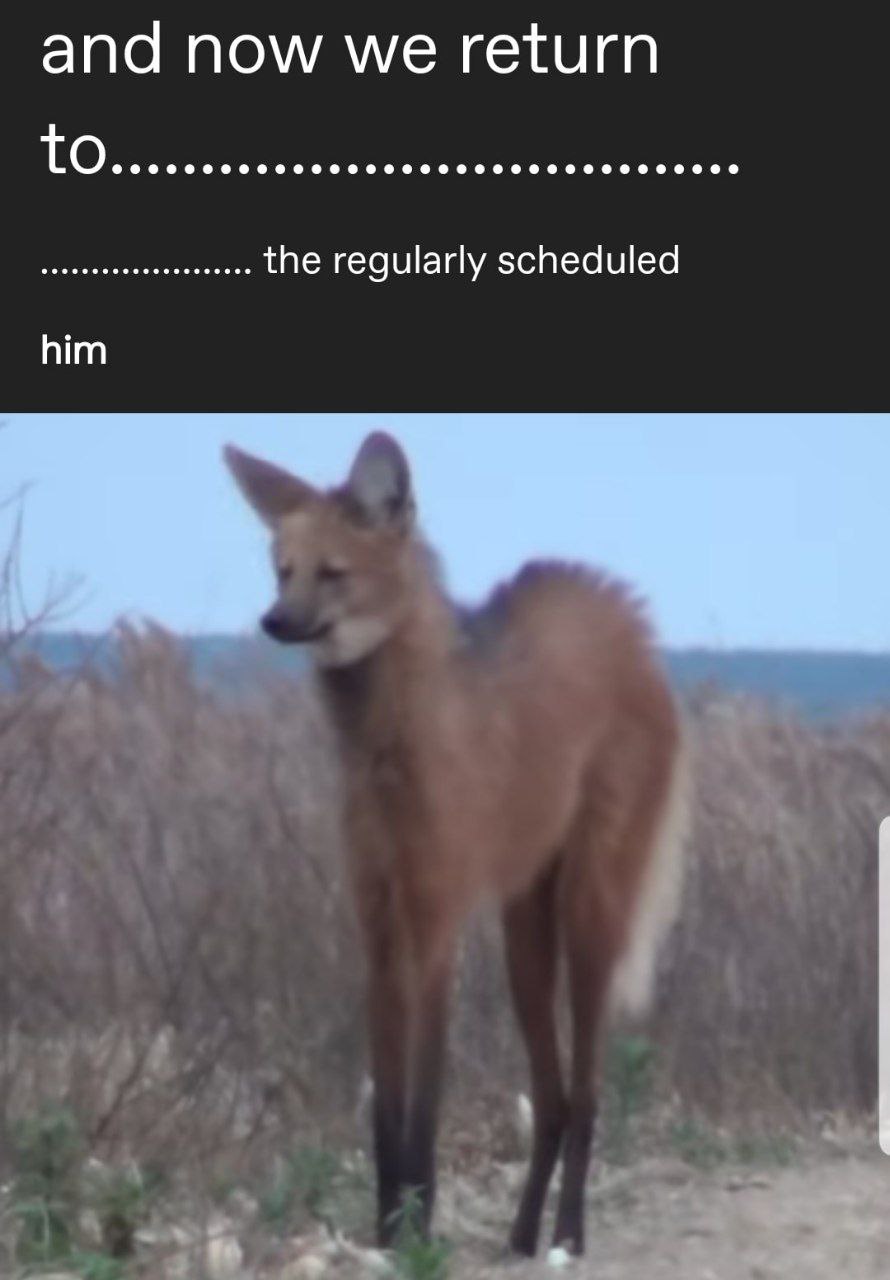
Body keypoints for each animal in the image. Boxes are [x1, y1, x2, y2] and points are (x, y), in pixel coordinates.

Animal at [225, 431, 688, 1257]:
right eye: (282, 569)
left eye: (332, 573)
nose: (274, 620)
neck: (384, 746)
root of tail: (625, 616)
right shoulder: (380, 924)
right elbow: (386, 1108)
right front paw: (387, 1232)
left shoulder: (435, 922)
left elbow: (423, 1104)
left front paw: (418, 1227)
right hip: (522, 930)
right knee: (552, 1095)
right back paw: (521, 1236)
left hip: (588, 910)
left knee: (587, 1090)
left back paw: (567, 1235)